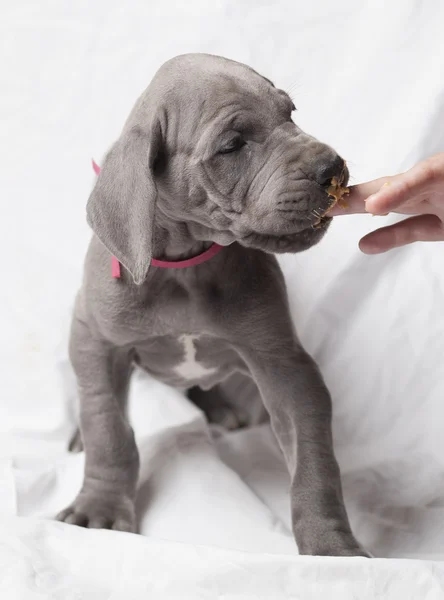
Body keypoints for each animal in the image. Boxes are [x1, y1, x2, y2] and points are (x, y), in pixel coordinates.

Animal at [57, 52, 366, 556]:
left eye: (290, 113)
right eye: (232, 145)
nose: (332, 167)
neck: (186, 263)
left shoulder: (283, 363)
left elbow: (313, 460)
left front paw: (331, 547)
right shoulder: (97, 341)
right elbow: (107, 426)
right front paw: (98, 508)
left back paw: (219, 408)